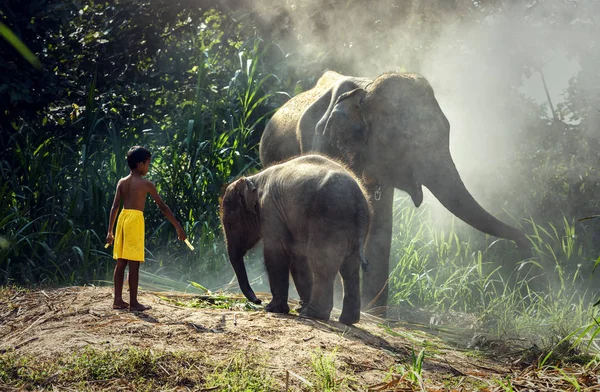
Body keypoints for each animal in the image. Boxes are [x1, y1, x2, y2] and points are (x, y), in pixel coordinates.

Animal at [220, 154, 370, 324]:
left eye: (230, 223)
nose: (258, 300)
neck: (254, 179)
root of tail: (358, 199)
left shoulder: (271, 212)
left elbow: (275, 254)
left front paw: (272, 309)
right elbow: (298, 259)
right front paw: (297, 307)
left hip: (330, 219)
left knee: (321, 263)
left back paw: (312, 314)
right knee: (349, 268)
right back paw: (347, 320)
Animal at [260, 69, 528, 310]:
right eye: (408, 138)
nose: (525, 244)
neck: (365, 92)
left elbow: (380, 222)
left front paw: (373, 309)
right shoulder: (322, 142)